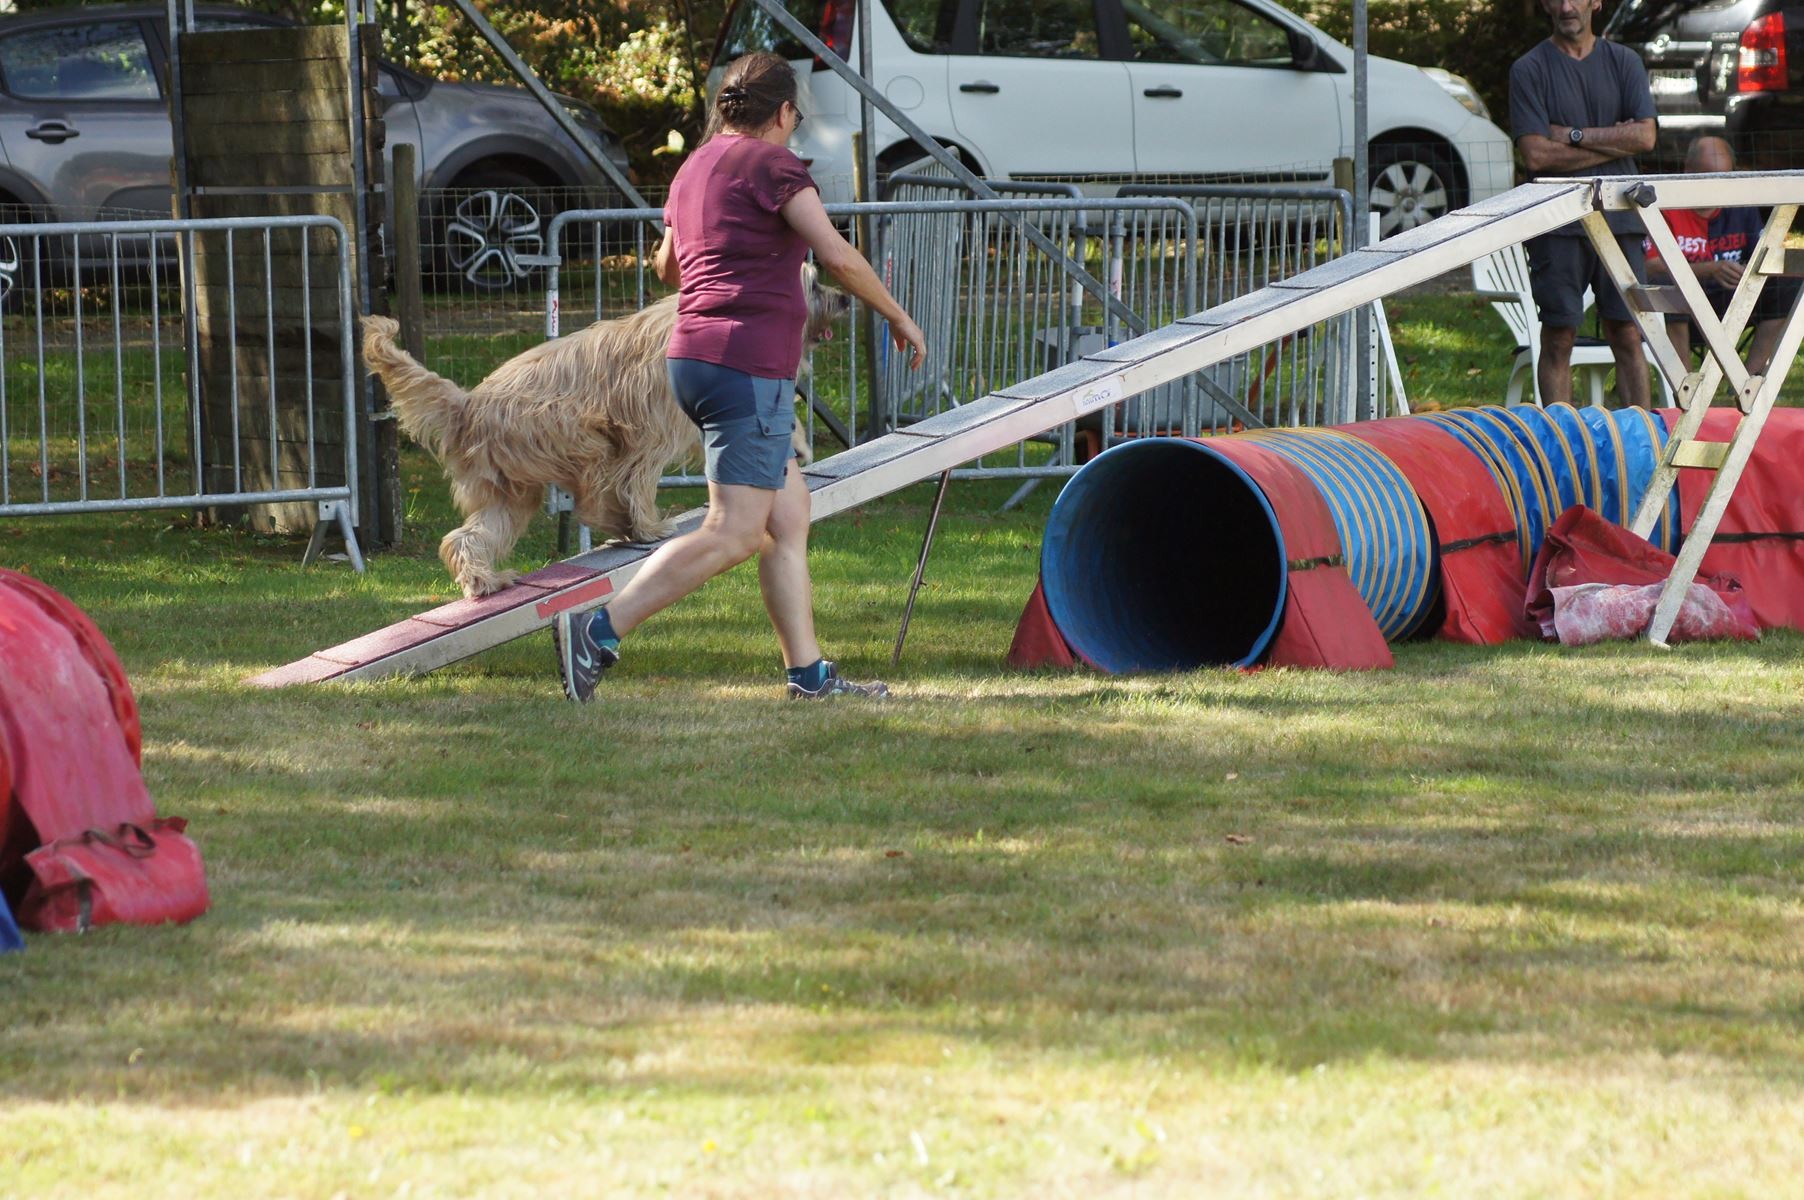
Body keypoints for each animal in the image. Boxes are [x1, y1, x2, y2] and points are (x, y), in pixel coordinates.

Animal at [366, 274, 851, 602]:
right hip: (577, 435)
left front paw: (797, 444)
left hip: (511, 488)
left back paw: (484, 579)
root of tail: (467, 405)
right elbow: (640, 477)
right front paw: (647, 523)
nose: (846, 297)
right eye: (812, 283)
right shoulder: (651, 429)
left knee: (467, 536)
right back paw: (628, 525)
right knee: (595, 496)